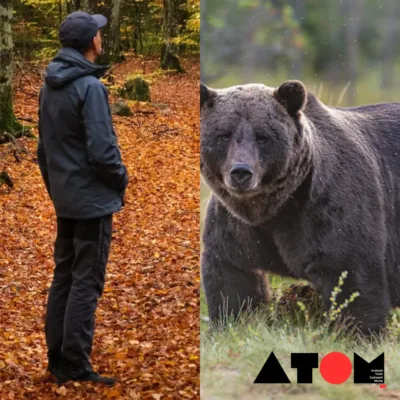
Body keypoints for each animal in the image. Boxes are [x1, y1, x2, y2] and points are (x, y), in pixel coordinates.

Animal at [202, 80, 400, 334]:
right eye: (224, 135)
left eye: (262, 136)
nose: (241, 172)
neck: (273, 208)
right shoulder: (235, 223)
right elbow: (232, 280)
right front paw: (233, 324)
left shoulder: (326, 208)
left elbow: (351, 274)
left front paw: (357, 331)